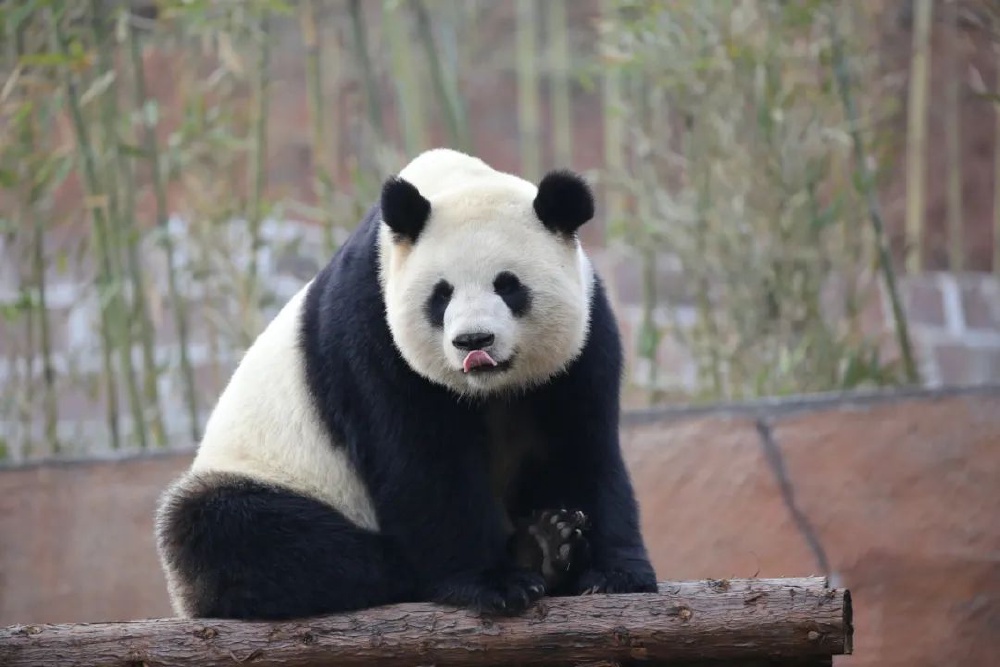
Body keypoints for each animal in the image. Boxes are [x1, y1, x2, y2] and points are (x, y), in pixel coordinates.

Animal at [154, 149, 656, 624]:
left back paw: (546, 543)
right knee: (228, 530)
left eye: (509, 286)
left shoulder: (584, 339)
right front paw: (494, 581)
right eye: (441, 294)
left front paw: (612, 572)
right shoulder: (372, 332)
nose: (474, 341)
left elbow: (580, 444)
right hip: (269, 475)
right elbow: (422, 457)